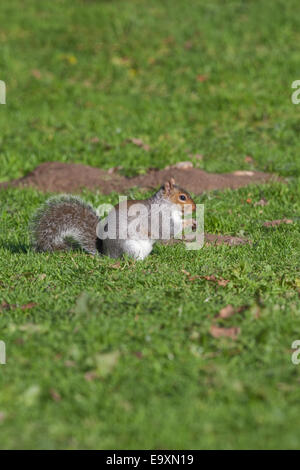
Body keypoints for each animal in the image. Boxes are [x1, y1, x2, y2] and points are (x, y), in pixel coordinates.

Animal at [29, 178, 195, 260]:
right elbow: (168, 229)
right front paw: (189, 222)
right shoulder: (157, 218)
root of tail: (107, 255)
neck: (165, 205)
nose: (194, 208)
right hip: (129, 247)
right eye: (182, 197)